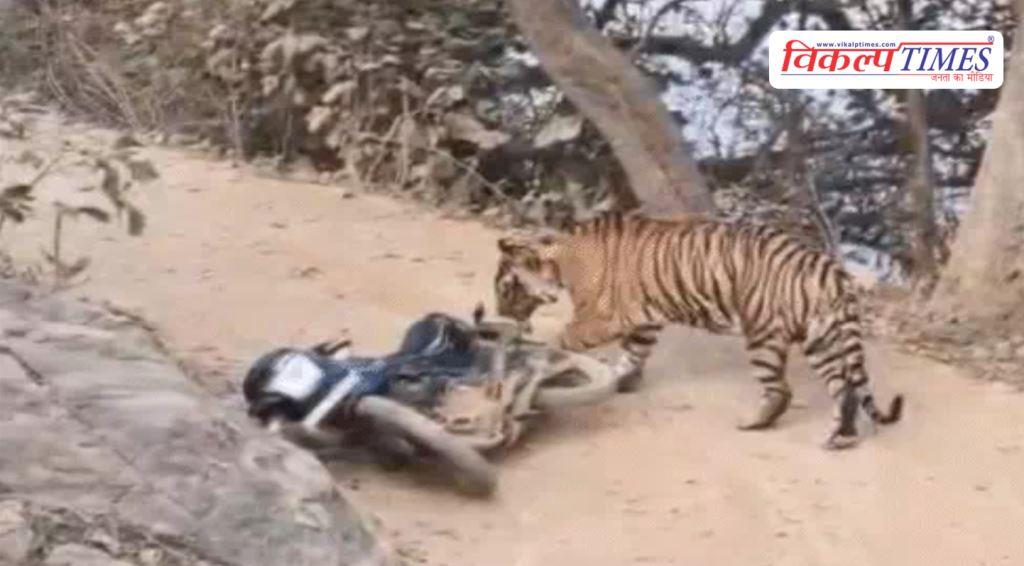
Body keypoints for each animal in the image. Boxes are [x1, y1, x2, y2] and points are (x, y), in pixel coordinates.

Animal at [494, 212, 903, 449]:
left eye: (505, 287)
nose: (499, 313)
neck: (562, 258)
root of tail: (829, 268)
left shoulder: (601, 318)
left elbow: (564, 339)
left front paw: (544, 354)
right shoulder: (643, 321)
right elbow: (632, 354)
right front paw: (623, 380)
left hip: (763, 335)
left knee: (781, 390)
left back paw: (754, 424)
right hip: (822, 340)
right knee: (844, 388)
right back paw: (840, 437)